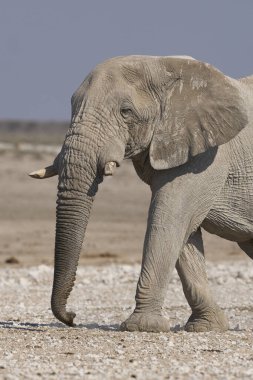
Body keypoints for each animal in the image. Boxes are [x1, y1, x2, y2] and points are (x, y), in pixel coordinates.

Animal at [30, 55, 253, 332]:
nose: (72, 317)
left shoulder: (209, 155)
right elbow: (183, 231)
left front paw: (141, 326)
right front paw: (206, 327)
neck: (165, 66)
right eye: (72, 106)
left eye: (126, 112)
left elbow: (168, 219)